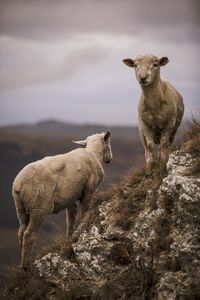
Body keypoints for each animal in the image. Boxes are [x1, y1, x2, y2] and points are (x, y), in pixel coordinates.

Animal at [12, 130, 112, 268]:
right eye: (108, 142)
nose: (110, 159)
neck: (94, 155)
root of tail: (19, 184)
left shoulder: (71, 199)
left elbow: (70, 221)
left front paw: (70, 238)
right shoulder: (89, 190)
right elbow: (85, 212)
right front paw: (82, 227)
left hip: (20, 207)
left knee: (21, 232)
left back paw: (22, 264)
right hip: (39, 205)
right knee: (29, 235)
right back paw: (26, 266)